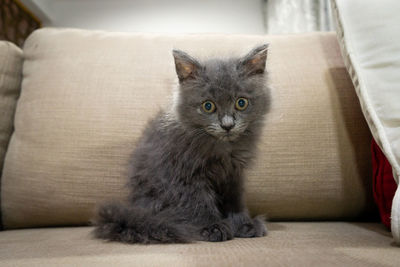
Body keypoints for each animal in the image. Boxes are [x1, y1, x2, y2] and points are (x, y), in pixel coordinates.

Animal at [94, 44, 270, 245]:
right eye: (208, 106)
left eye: (241, 103)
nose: (227, 125)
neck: (222, 149)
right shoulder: (184, 175)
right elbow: (198, 203)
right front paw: (213, 227)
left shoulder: (233, 174)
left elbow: (234, 201)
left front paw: (243, 223)